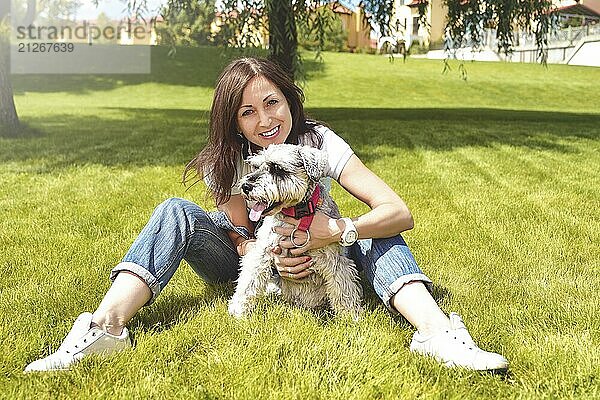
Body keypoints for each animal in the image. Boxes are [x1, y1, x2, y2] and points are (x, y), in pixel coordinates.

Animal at [229, 144, 360, 318]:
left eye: (277, 168)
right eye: (257, 166)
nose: (245, 186)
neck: (297, 213)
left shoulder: (335, 260)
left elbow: (343, 289)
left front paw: (351, 317)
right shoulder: (262, 252)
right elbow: (249, 280)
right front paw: (238, 310)